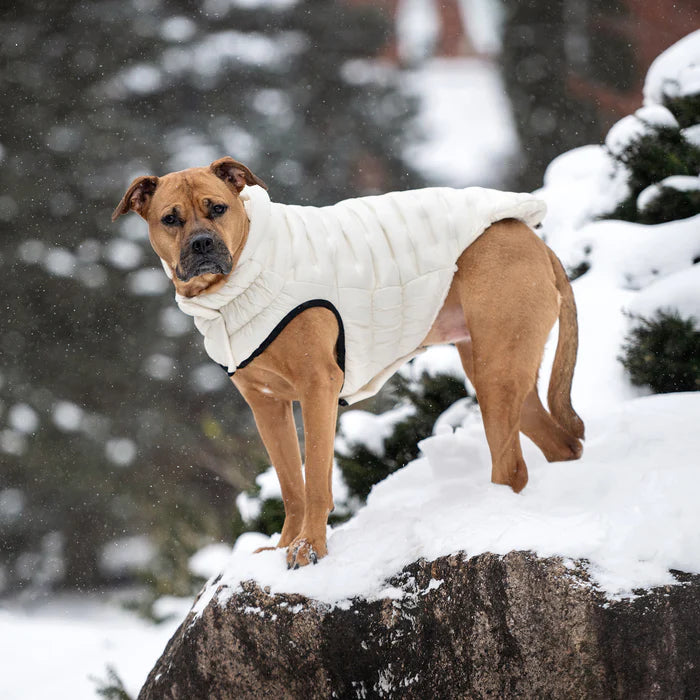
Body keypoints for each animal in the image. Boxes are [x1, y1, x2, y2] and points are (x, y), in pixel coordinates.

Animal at [113, 157, 584, 568]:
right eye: (170, 219)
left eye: (218, 208)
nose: (202, 243)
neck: (244, 276)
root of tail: (531, 237)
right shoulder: (266, 404)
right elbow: (292, 485)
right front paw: (282, 546)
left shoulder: (317, 387)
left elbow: (315, 482)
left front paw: (309, 548)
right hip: (497, 368)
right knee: (561, 446)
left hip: (497, 369)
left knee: (512, 467)